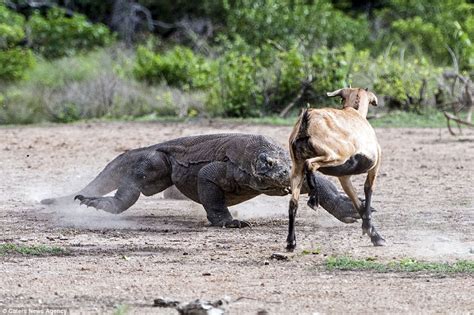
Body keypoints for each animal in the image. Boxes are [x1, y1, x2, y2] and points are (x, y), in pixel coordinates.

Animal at [286, 87, 386, 251]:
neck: (355, 113)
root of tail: (307, 120)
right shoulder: (374, 166)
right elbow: (368, 190)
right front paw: (376, 236)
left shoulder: (344, 177)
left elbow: (356, 201)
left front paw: (372, 233)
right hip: (335, 155)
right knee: (310, 164)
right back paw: (313, 200)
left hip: (296, 167)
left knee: (293, 203)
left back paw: (290, 242)